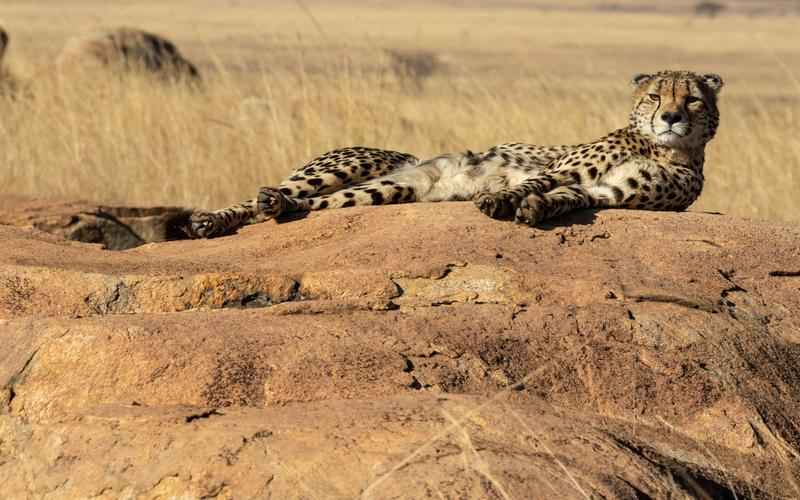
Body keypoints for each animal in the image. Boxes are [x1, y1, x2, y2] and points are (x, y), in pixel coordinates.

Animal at [189, 71, 724, 240]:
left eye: (692, 99)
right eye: (655, 96)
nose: (671, 117)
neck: (664, 149)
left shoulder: (605, 191)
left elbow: (566, 199)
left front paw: (534, 210)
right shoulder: (564, 167)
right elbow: (535, 180)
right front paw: (501, 201)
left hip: (378, 191)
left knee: (295, 206)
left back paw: (271, 209)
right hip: (347, 166)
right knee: (263, 196)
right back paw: (209, 220)